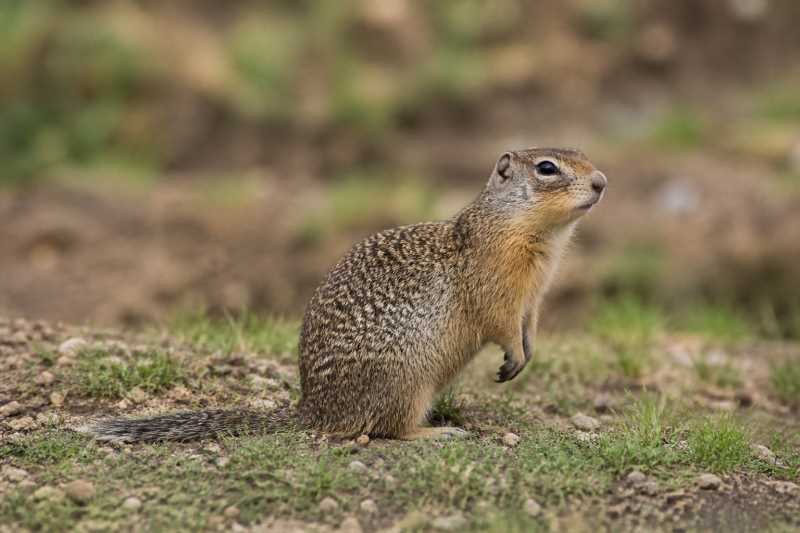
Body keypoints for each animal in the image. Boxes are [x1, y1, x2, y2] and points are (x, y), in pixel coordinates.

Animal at [83, 147, 606, 442]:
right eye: (547, 168)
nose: (602, 181)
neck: (531, 232)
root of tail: (313, 411)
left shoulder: (534, 296)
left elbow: (530, 324)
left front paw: (528, 352)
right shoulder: (496, 284)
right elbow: (500, 322)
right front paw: (513, 358)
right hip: (406, 380)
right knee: (385, 429)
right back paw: (439, 433)